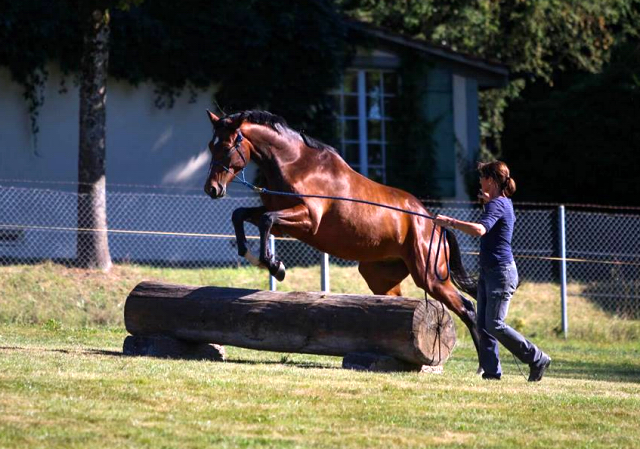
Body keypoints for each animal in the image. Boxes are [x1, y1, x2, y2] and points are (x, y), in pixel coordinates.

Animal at [204, 110, 480, 366]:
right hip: (380, 275)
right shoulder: (284, 224)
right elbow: (242, 215)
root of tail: (433, 222)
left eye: (227, 147)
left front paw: (274, 266)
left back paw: (482, 367)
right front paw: (255, 257)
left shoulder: (308, 220)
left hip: (429, 275)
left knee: (467, 307)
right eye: (210, 146)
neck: (294, 165)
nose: (212, 189)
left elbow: (265, 220)